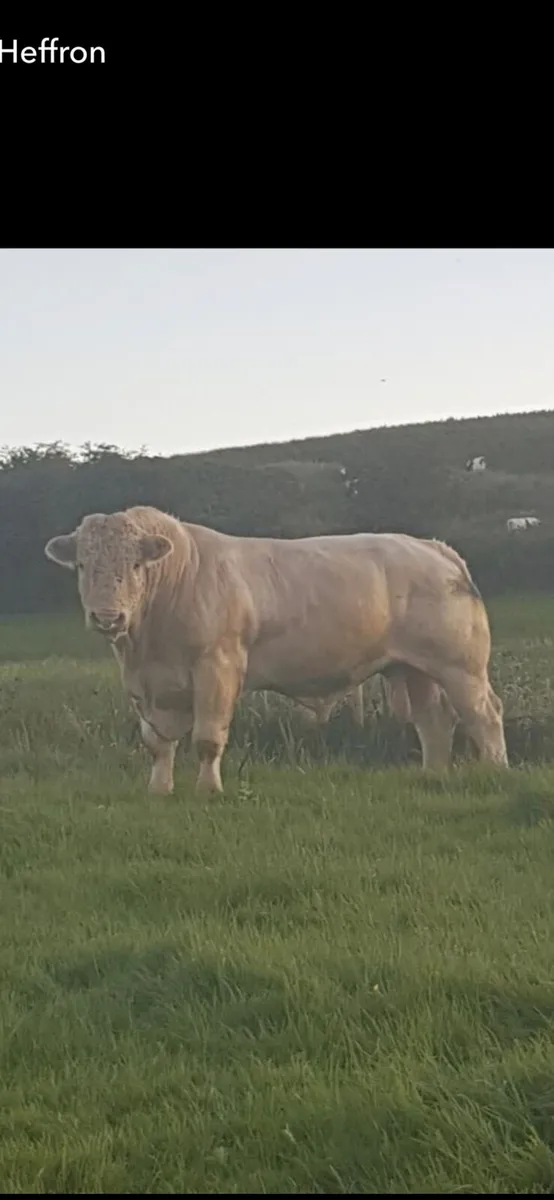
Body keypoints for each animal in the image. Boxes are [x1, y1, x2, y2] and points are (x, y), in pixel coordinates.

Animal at [44, 506, 508, 795]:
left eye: (137, 565)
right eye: (83, 565)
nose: (107, 617)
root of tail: (433, 547)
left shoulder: (217, 667)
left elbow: (207, 737)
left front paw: (208, 789)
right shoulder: (146, 684)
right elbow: (157, 742)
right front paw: (159, 789)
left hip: (461, 666)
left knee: (483, 714)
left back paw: (495, 771)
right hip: (412, 669)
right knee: (433, 721)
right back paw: (434, 776)